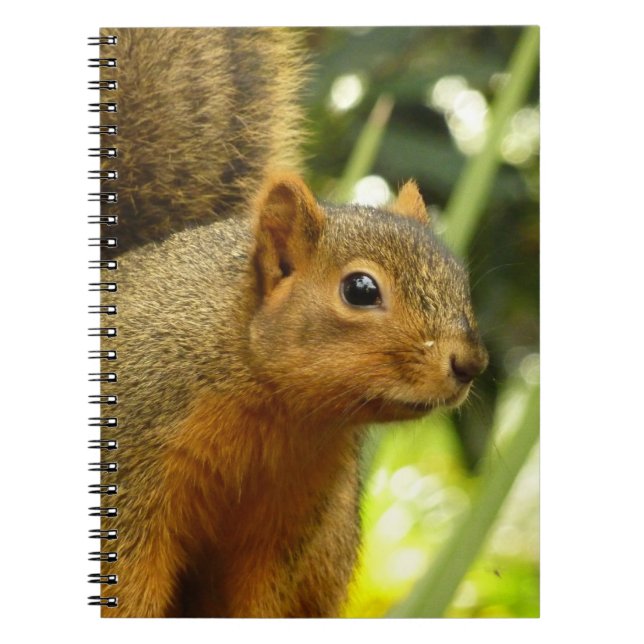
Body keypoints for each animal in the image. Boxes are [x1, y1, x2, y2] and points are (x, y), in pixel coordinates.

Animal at [97, 27, 488, 618]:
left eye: (459, 278)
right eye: (360, 289)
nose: (471, 363)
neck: (277, 412)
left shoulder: (290, 521)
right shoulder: (128, 471)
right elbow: (126, 587)